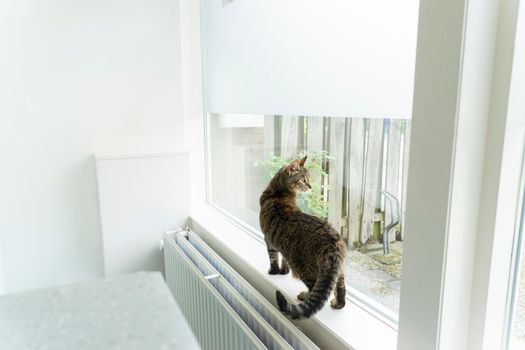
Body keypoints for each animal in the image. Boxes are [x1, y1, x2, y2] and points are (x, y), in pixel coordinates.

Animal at [258, 157, 348, 320]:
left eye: (309, 178)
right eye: (303, 180)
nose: (310, 186)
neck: (278, 193)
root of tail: (332, 243)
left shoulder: (269, 241)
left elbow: (273, 258)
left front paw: (274, 271)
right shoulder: (282, 245)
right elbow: (283, 260)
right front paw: (283, 271)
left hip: (304, 269)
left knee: (314, 289)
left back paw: (304, 296)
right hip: (339, 270)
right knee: (341, 290)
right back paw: (337, 304)